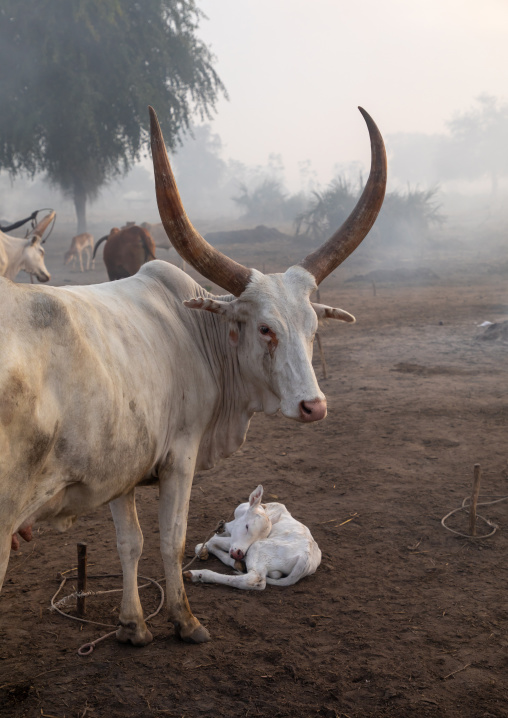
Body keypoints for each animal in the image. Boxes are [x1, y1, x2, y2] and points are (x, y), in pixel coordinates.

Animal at [184, 485, 321, 590]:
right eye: (246, 526)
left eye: (261, 536)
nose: (239, 554)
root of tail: (305, 560)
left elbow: (212, 541)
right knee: (273, 574)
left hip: (259, 549)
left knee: (254, 579)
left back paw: (198, 574)